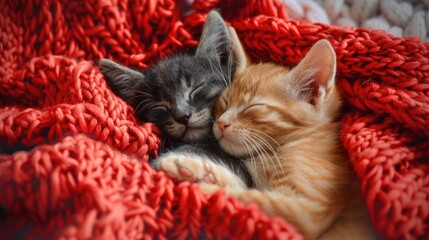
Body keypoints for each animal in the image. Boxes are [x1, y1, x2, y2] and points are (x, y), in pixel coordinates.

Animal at [155, 28, 376, 240]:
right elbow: (244, 187)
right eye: (224, 102)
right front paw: (201, 171)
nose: (221, 123)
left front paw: (202, 185)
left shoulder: (306, 212)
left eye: (252, 107)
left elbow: (244, 197)